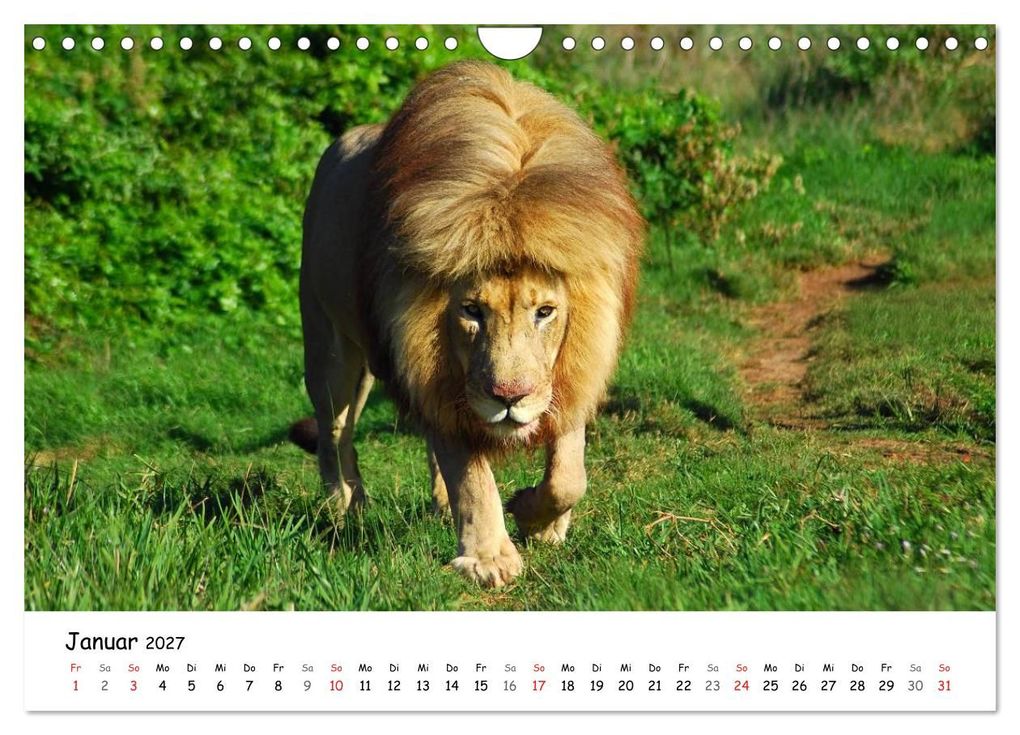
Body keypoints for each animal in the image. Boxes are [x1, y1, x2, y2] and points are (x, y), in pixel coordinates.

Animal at [291, 61, 644, 588]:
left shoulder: (572, 372)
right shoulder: (433, 372)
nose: (509, 398)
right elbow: (472, 477)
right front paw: (489, 558)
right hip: (330, 349)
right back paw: (346, 503)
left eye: (545, 312)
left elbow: (568, 476)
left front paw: (537, 519)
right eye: (472, 311)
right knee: (336, 432)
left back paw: (437, 504)